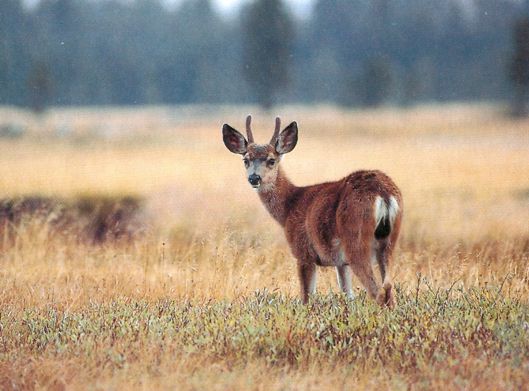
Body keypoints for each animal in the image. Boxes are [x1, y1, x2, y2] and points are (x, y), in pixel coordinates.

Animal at [221, 115, 402, 308]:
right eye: (246, 160)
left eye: (271, 160)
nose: (254, 178)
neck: (290, 206)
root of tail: (383, 193)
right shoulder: (341, 263)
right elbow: (348, 295)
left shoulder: (303, 252)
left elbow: (306, 297)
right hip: (389, 243)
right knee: (389, 288)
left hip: (356, 240)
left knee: (378, 292)